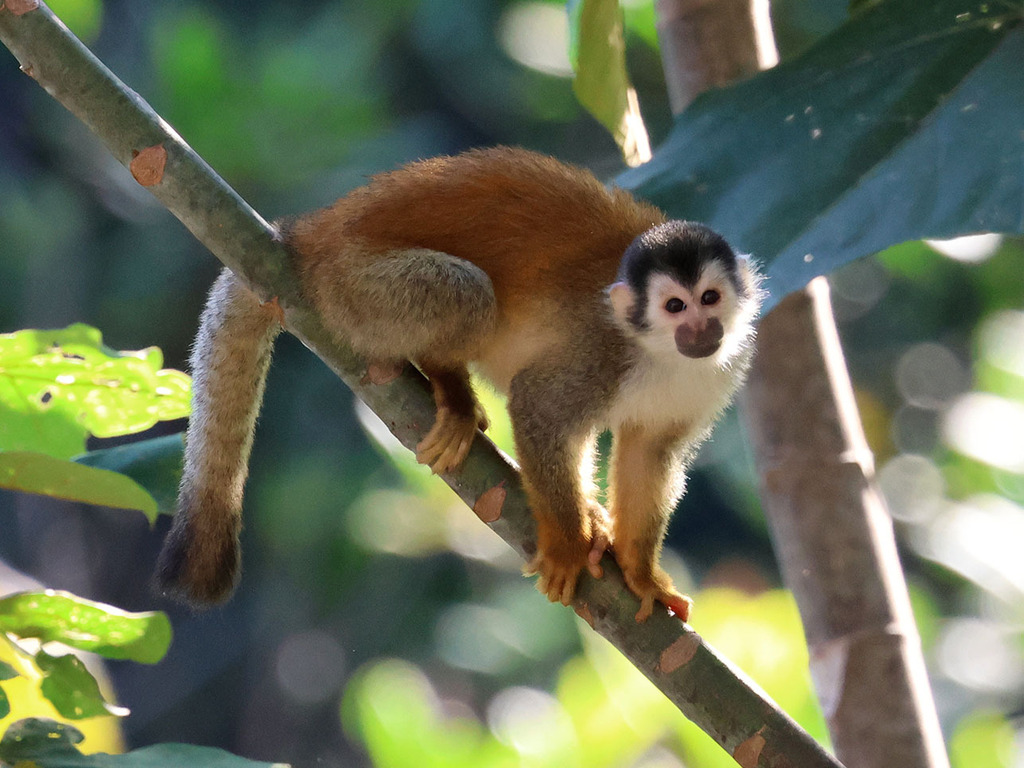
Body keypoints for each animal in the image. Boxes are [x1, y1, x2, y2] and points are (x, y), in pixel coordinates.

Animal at [156, 147, 762, 622]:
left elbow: (651, 452)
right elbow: (539, 408)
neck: (659, 353)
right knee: (466, 293)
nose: (700, 330)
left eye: (709, 299)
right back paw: (450, 386)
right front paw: (567, 545)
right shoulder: (601, 351)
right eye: (674, 306)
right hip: (354, 285)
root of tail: (309, 232)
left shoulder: (718, 374)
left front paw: (640, 573)